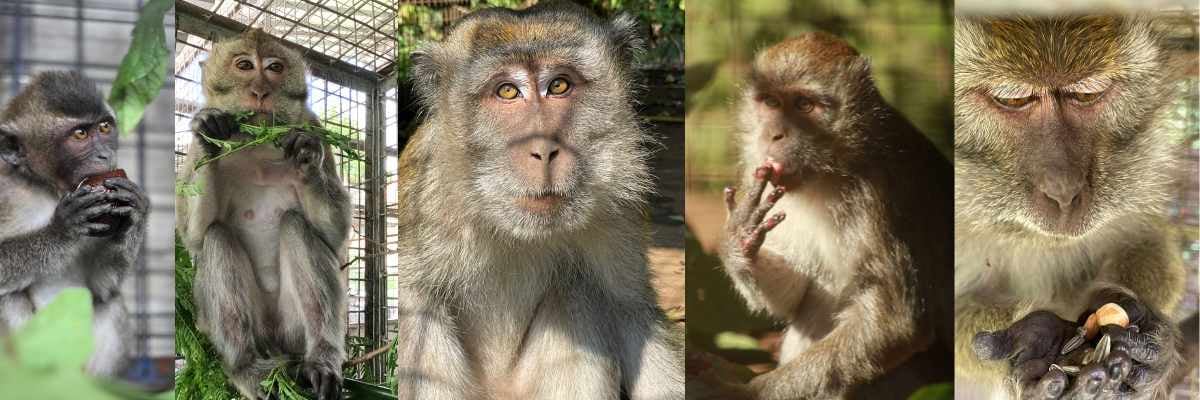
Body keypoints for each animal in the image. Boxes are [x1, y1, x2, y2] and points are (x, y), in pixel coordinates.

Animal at [0, 70, 148, 377]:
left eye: (104, 127)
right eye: (80, 134)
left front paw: (136, 213)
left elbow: (103, 285)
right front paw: (62, 230)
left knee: (110, 301)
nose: (105, 156)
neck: (49, 189)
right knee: (9, 298)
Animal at [176, 29, 350, 400]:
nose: (260, 91)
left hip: (293, 329)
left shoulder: (313, 125)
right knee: (216, 236)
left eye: (274, 68)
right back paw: (246, 366)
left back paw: (322, 358)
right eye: (244, 66)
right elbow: (193, 235)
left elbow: (334, 235)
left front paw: (306, 157)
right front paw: (210, 132)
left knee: (297, 225)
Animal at [392, 2, 684, 399]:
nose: (544, 148)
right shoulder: (423, 209)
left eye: (559, 85)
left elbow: (632, 312)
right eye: (507, 91)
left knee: (578, 288)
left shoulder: (619, 215)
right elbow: (417, 311)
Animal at [713, 33, 955, 399]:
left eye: (804, 105)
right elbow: (797, 294)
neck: (829, 170)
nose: (774, 134)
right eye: (770, 102)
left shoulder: (874, 196)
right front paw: (739, 240)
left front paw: (751, 392)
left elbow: (894, 322)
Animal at [953, 15, 1186, 399]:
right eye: (1013, 100)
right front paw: (1037, 337)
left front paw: (1139, 323)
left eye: (1087, 95)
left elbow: (1145, 238)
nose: (1064, 190)